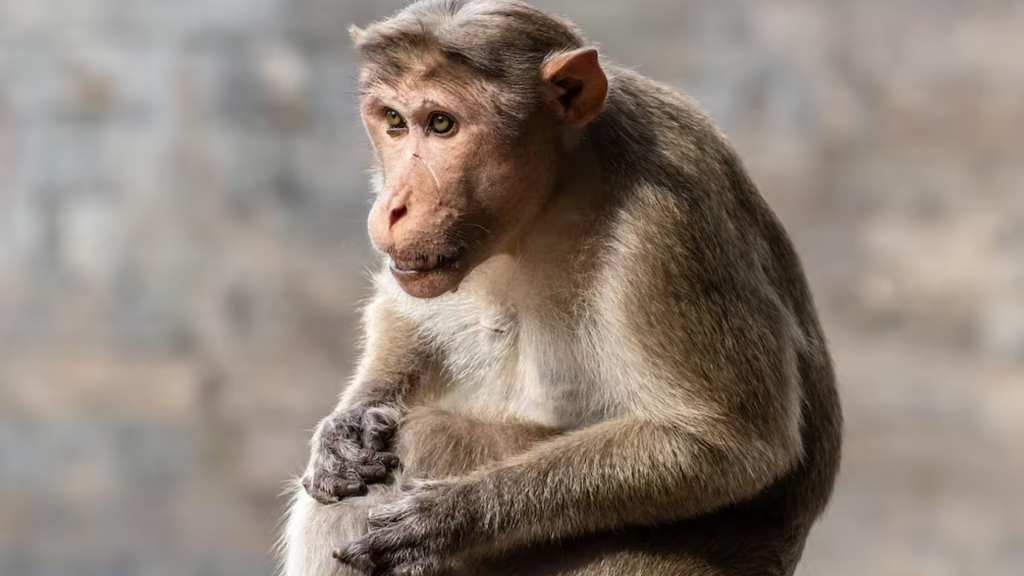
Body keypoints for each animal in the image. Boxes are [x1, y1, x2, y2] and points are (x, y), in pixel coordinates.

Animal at [280, 1, 842, 575]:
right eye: (394, 121)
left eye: (441, 124)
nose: (393, 206)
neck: (556, 193)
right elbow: (407, 316)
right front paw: (345, 428)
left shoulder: (669, 225)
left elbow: (732, 442)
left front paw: (451, 518)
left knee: (426, 437)